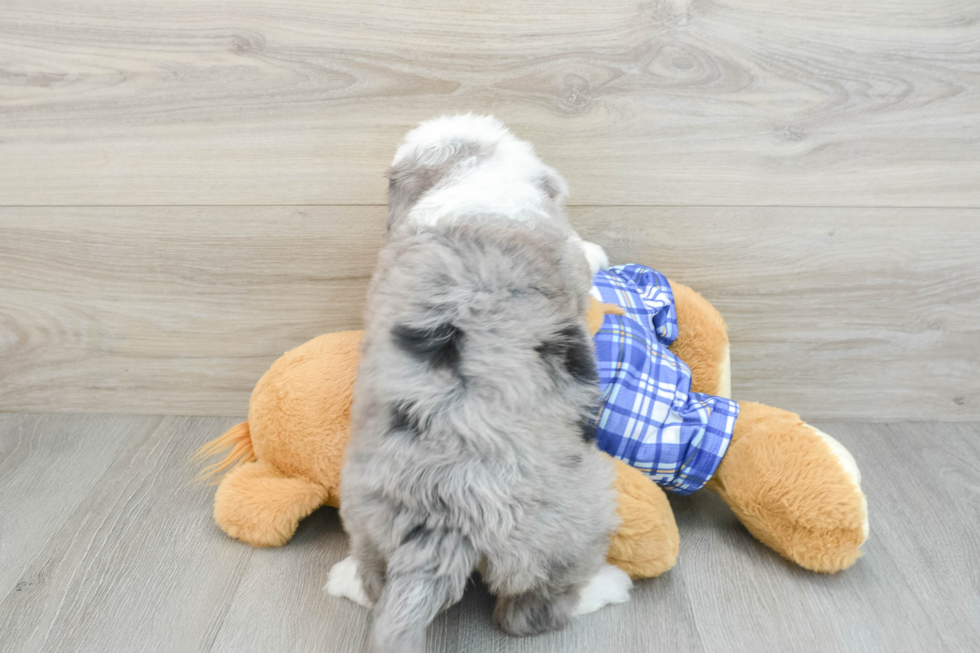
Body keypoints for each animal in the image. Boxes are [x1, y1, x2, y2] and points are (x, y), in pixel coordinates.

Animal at [330, 116, 632, 652]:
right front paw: (597, 251)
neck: (474, 179)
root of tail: (442, 520)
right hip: (575, 521)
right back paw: (608, 587)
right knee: (530, 613)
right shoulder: (565, 251)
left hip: (367, 523)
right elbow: (581, 252)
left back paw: (344, 578)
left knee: (371, 582)